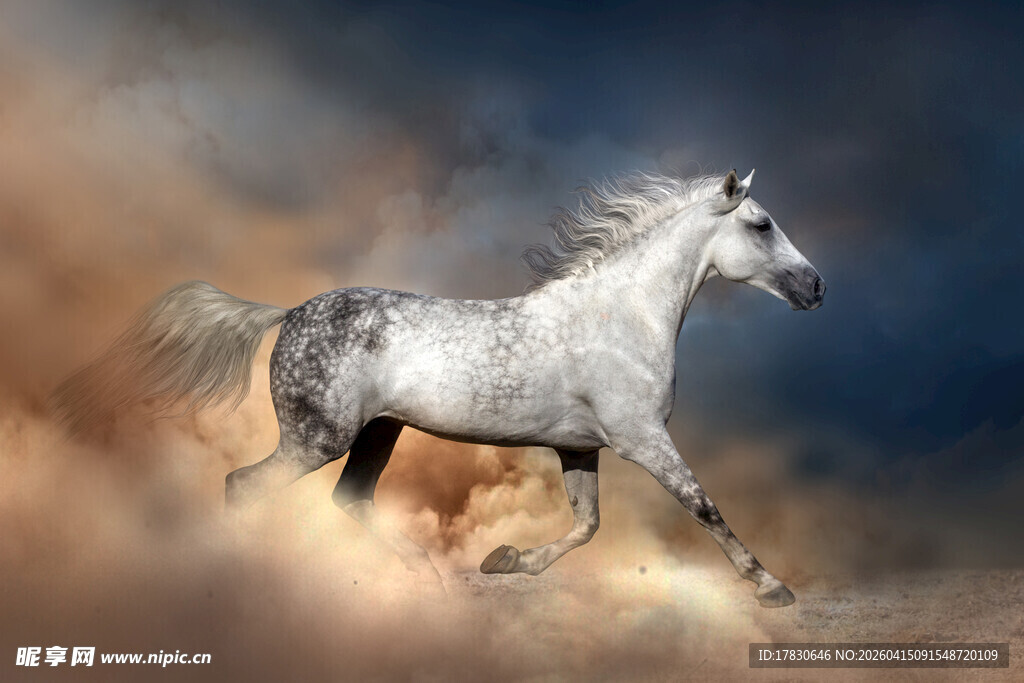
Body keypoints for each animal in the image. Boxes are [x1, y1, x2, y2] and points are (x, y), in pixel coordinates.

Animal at [53, 169, 825, 607]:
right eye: (761, 224)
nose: (816, 287)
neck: (620, 316)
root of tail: (287, 312)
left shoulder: (581, 447)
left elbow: (587, 524)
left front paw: (506, 560)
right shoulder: (642, 437)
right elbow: (704, 506)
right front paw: (773, 587)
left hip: (377, 433)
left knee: (349, 500)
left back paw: (430, 573)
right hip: (317, 437)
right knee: (244, 486)